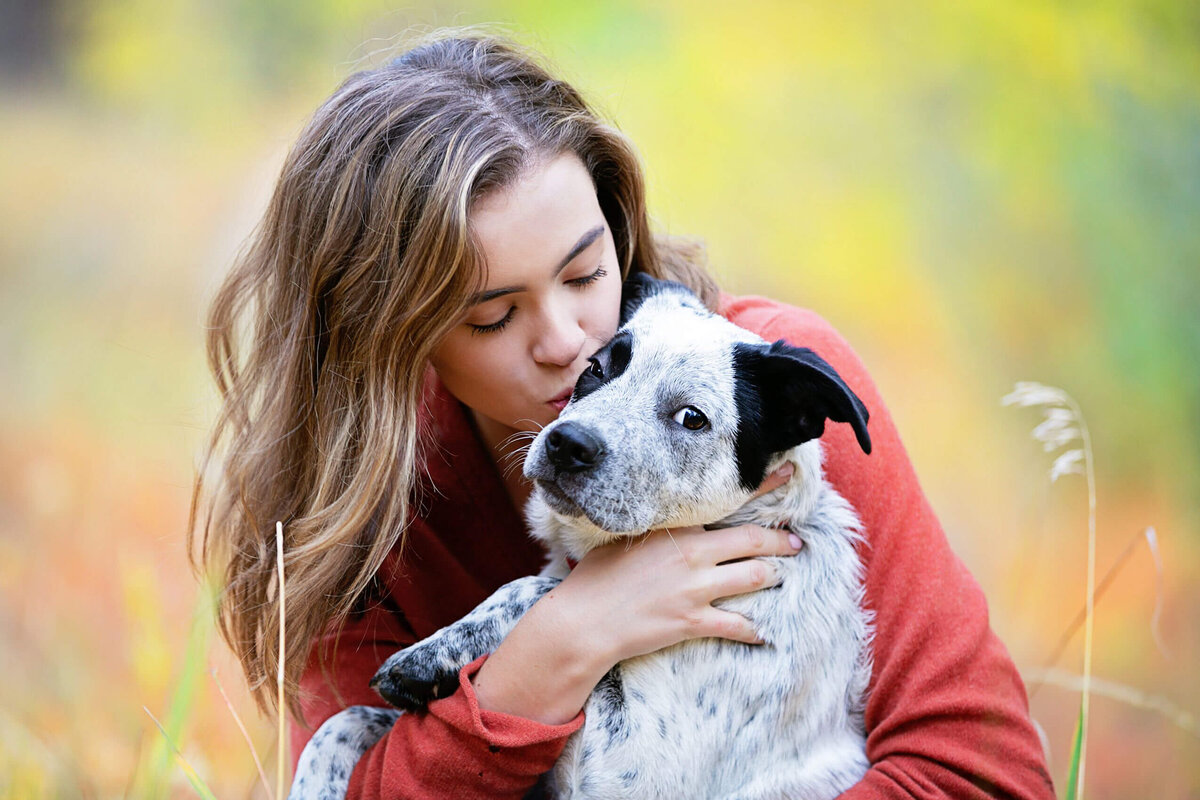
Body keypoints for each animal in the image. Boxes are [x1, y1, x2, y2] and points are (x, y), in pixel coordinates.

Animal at [290, 272, 873, 796]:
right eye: (595, 369)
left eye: (692, 417)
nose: (567, 443)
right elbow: (344, 722)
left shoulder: (628, 770)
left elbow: (543, 589)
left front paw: (428, 657)